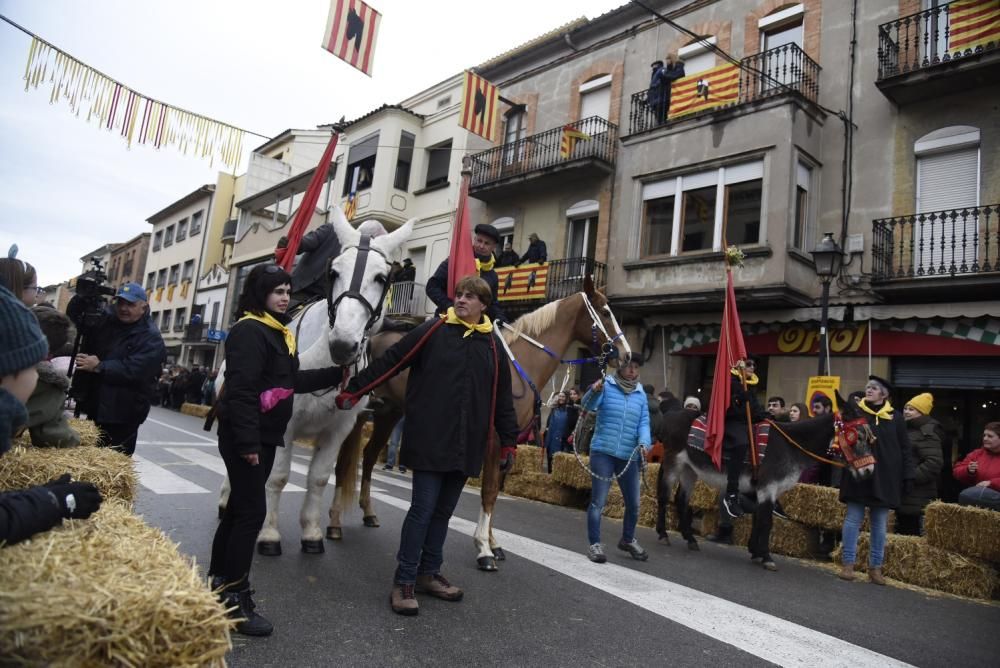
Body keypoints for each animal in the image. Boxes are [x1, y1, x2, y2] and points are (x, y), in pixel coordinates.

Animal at [217, 207, 412, 552]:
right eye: (333, 272)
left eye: (381, 278)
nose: (343, 345)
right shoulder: (285, 424)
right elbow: (278, 476)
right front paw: (269, 533)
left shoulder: (339, 429)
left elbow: (319, 478)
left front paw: (311, 531)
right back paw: (228, 499)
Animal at [324, 276, 628, 568]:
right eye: (604, 312)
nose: (626, 355)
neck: (518, 367)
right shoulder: (494, 439)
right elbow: (489, 490)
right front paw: (483, 547)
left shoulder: (509, 443)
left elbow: (495, 491)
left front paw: (493, 543)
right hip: (359, 416)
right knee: (344, 463)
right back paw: (335, 522)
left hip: (390, 413)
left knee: (368, 456)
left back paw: (369, 512)